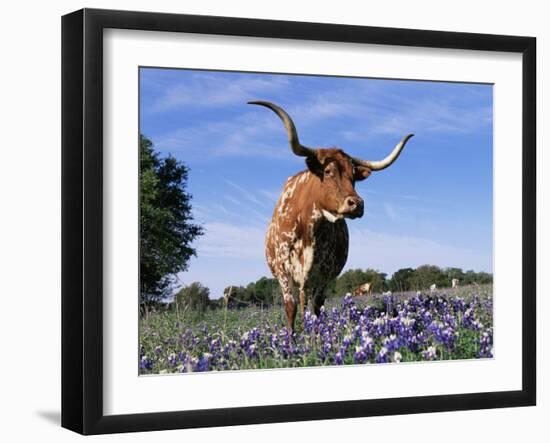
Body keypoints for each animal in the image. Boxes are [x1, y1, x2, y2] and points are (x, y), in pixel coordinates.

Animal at [250, 99, 414, 330]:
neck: (309, 228)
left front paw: (314, 336)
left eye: (353, 176)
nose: (356, 204)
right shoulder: (284, 272)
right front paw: (292, 339)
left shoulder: (324, 275)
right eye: (328, 171)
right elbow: (290, 309)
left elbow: (316, 308)